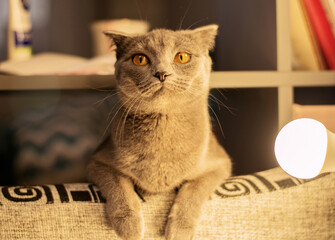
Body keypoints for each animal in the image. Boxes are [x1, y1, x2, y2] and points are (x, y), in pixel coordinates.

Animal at [88, 24, 232, 240]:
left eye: (182, 57)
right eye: (140, 59)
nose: (162, 73)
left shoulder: (219, 163)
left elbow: (194, 189)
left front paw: (179, 230)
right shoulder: (98, 161)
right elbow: (118, 185)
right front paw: (129, 226)